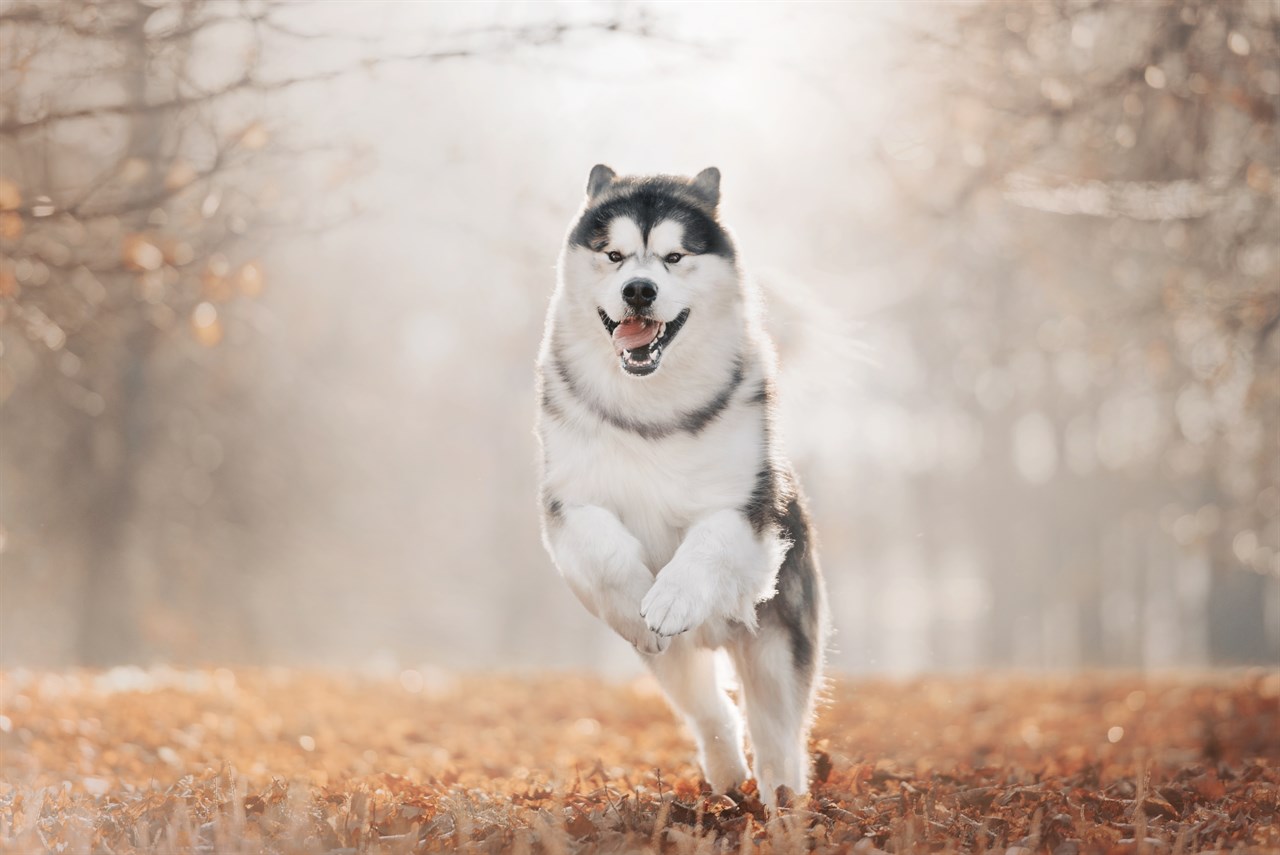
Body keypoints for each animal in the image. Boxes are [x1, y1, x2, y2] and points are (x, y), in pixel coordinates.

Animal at [532, 163, 824, 803]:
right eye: (614, 255)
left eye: (673, 256)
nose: (639, 290)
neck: (651, 409)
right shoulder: (569, 501)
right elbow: (604, 548)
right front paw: (637, 594)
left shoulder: (748, 511)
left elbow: (708, 541)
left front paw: (671, 595)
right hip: (672, 663)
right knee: (711, 709)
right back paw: (727, 774)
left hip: (773, 641)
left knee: (778, 733)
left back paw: (782, 801)